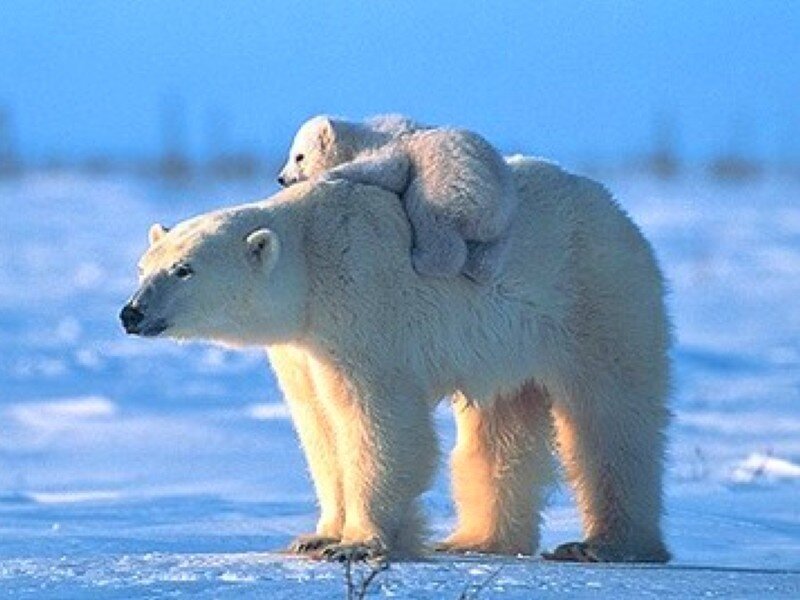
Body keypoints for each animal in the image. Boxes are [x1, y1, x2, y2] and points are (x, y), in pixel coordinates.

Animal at [121, 156, 671, 563]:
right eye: (144, 267)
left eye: (184, 269)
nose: (131, 313)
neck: (310, 261)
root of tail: (617, 210)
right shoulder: (302, 348)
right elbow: (319, 425)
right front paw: (317, 536)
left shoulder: (361, 304)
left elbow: (377, 419)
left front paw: (358, 544)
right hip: (507, 346)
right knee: (499, 432)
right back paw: (475, 539)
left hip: (595, 295)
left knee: (611, 416)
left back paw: (605, 545)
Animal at [277, 115, 518, 284]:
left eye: (299, 156)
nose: (281, 178)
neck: (359, 137)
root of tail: (492, 213)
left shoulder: (386, 144)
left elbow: (390, 169)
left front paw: (328, 174)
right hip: (503, 220)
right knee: (490, 255)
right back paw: (477, 267)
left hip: (449, 185)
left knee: (429, 215)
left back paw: (421, 258)